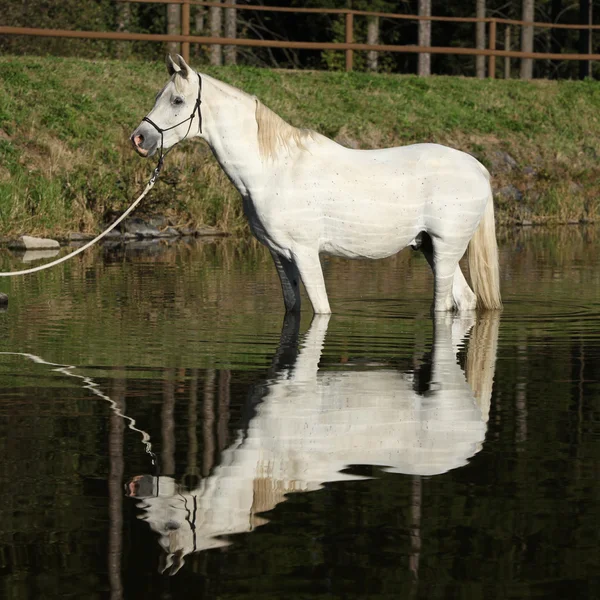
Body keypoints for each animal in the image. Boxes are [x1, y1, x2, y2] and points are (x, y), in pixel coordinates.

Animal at [131, 55, 502, 314]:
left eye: (177, 101)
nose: (140, 138)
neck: (272, 170)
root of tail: (478, 168)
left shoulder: (305, 252)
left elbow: (321, 311)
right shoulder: (280, 255)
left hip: (446, 249)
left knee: (445, 305)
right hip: (428, 247)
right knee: (466, 300)